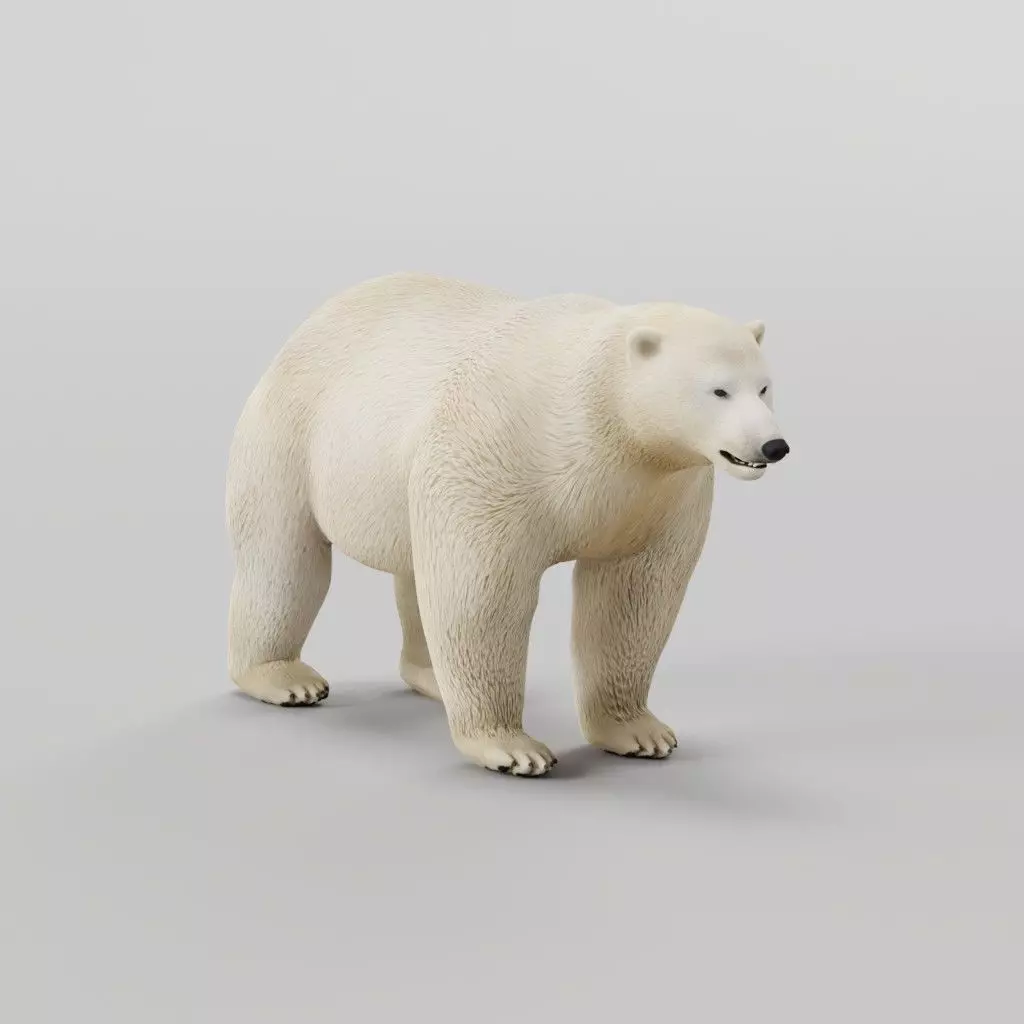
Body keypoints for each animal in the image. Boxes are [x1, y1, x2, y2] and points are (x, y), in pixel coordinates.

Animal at [225, 272, 789, 776]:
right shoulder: (497, 451)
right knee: (284, 558)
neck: (597, 415)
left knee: (416, 571)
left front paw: (639, 731)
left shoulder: (659, 492)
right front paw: (513, 748)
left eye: (764, 387)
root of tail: (316, 317)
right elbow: (482, 595)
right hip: (292, 435)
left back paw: (430, 678)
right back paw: (284, 678)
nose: (773, 446)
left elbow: (633, 595)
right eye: (718, 390)